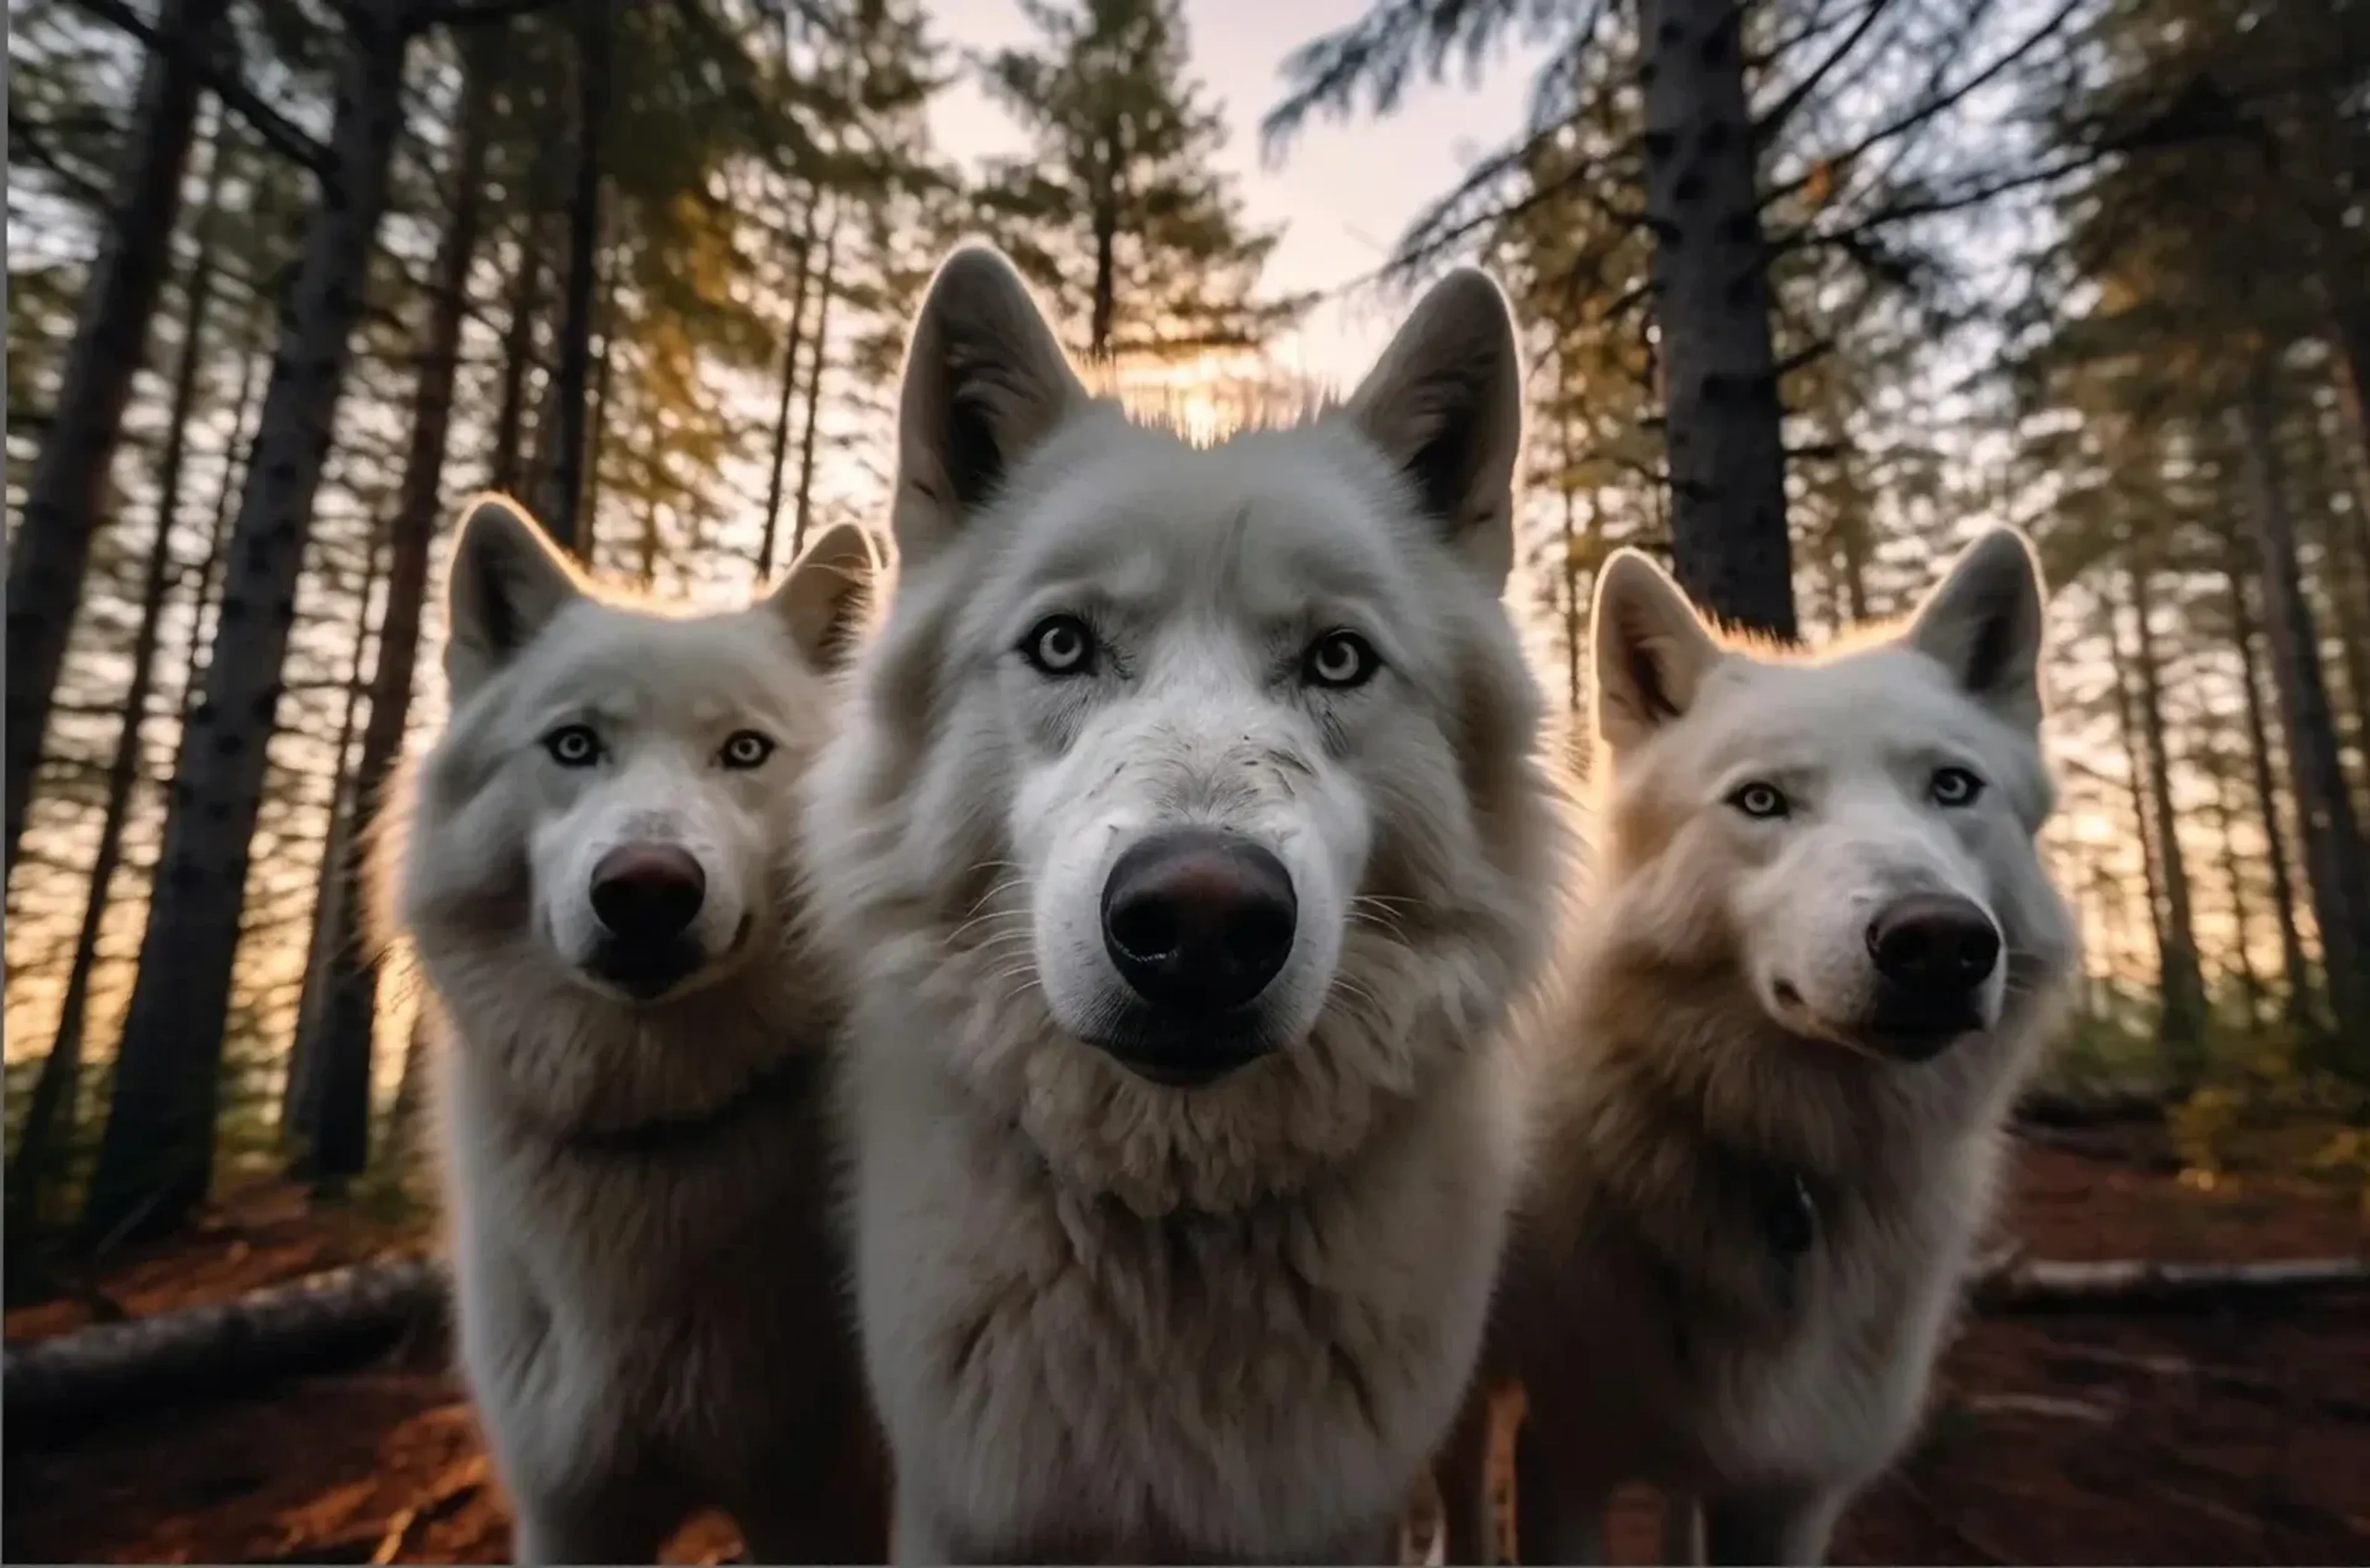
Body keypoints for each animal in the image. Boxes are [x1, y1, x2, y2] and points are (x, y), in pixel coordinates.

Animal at [379, 495, 887, 1564]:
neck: (653, 1132)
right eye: (575, 746)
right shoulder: (571, 1511)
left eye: (746, 751)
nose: (646, 890)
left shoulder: (820, 1503)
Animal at [799, 244, 1575, 1565]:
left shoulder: (1337, 1517)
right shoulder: (963, 1513)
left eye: (1337, 660)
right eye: (1063, 645)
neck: (1174, 1226)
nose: (1204, 923)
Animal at [1436, 530, 2079, 1567]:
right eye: (1763, 801)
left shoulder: (1790, 1492)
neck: (1793, 1170)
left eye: (1953, 787)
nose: (1940, 941)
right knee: (1457, 1495)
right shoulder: (1563, 1458)